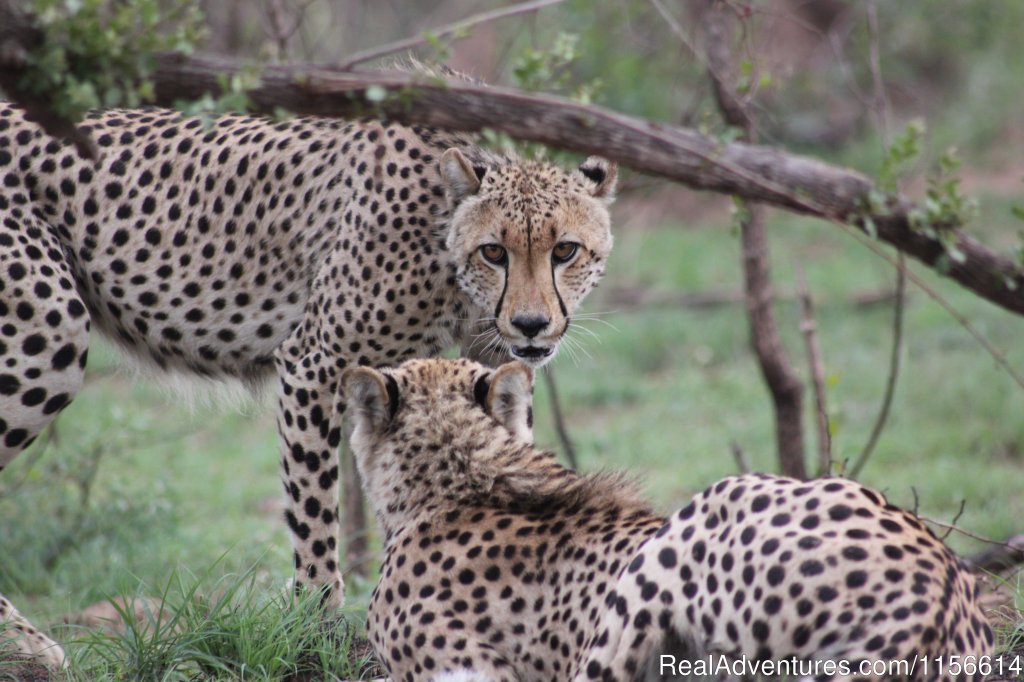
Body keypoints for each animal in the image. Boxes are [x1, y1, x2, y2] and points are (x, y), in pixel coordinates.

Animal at [0, 102, 614, 663]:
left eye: (565, 250)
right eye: (494, 251)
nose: (531, 323)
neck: (444, 248)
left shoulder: (491, 366)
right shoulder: (313, 361)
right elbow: (314, 513)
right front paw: (319, 630)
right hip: (46, 332)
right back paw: (30, 647)